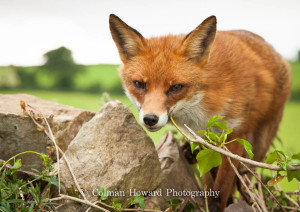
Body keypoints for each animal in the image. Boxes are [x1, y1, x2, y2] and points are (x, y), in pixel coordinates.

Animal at [109, 14, 292, 211]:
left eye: (176, 87)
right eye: (139, 84)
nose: (150, 119)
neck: (203, 103)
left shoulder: (235, 135)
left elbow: (220, 190)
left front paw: (220, 204)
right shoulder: (203, 138)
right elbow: (209, 178)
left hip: (259, 144)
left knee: (246, 179)